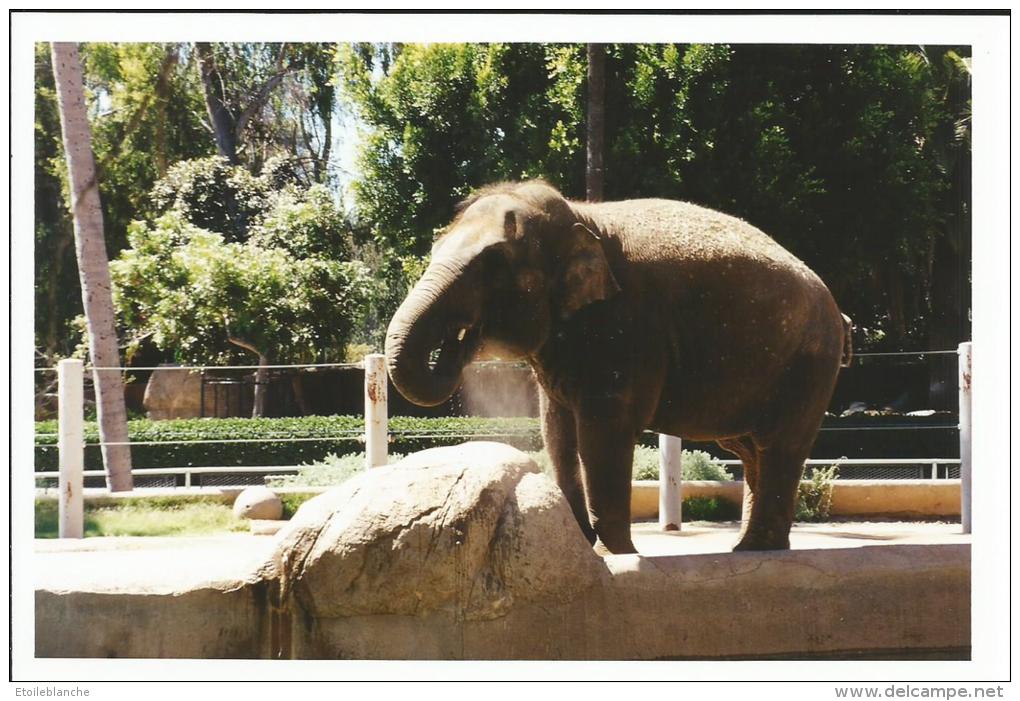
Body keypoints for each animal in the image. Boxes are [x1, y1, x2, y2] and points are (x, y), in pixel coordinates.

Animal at [385, 179, 848, 555]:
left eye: (494, 262)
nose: (457, 341)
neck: (580, 216)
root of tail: (836, 307)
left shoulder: (627, 328)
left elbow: (603, 431)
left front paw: (614, 554)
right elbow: (557, 431)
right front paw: (581, 545)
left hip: (811, 362)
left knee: (780, 445)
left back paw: (758, 550)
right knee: (751, 450)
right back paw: (750, 548)